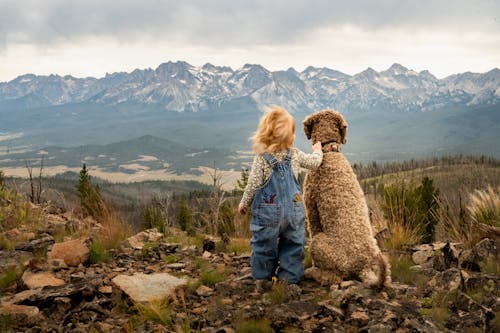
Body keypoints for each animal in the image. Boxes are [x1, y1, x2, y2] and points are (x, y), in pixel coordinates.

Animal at [300, 109, 390, 288]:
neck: (329, 150)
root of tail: (362, 267)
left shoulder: (311, 208)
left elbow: (313, 227)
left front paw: (313, 266)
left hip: (320, 244)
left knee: (334, 277)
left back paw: (311, 272)